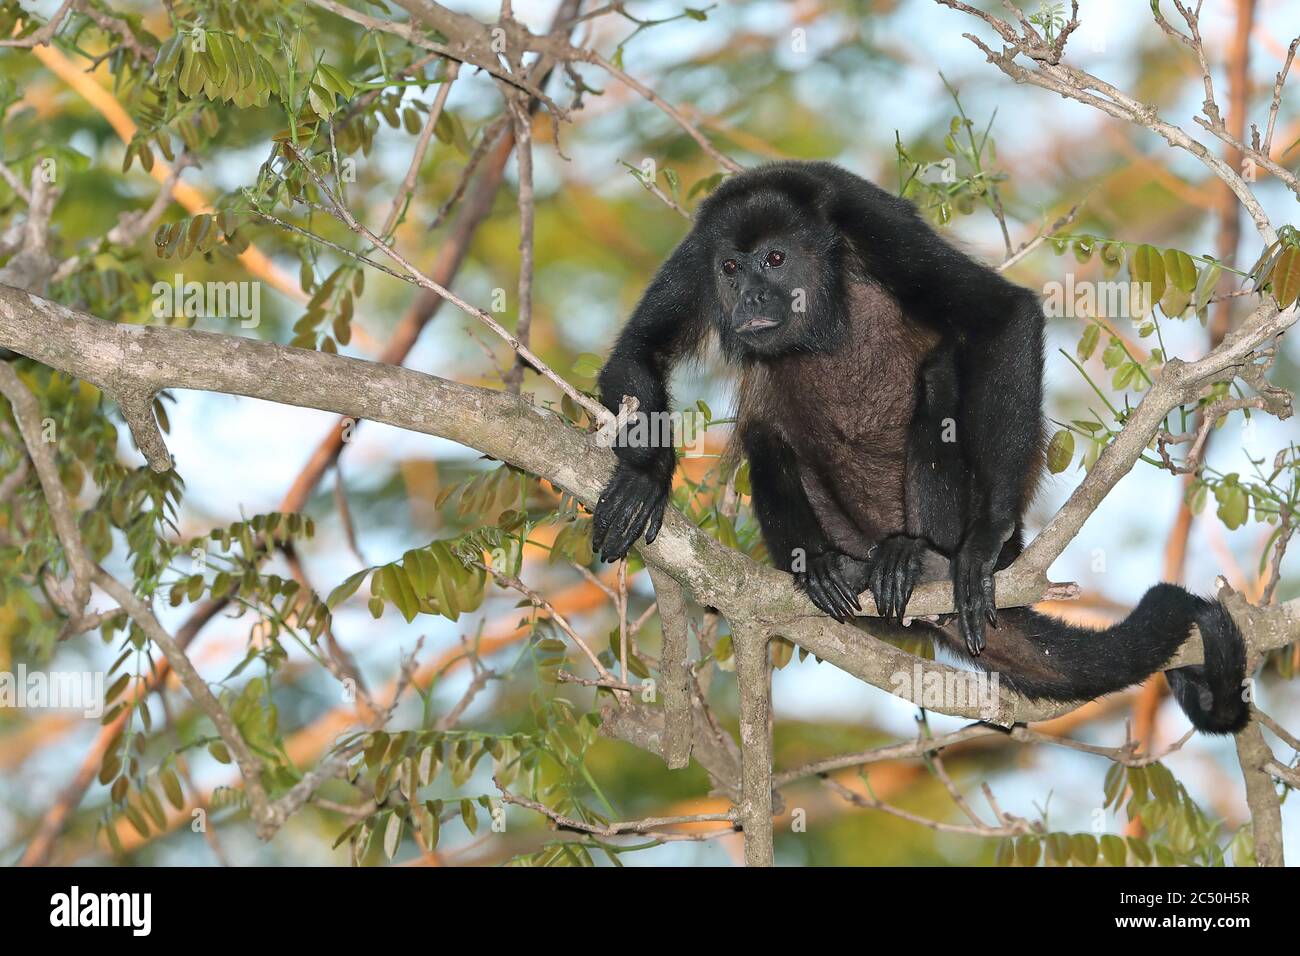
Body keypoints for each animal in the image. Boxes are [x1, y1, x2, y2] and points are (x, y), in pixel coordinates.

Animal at [595, 162, 1253, 733]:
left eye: (774, 259)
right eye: (731, 267)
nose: (749, 297)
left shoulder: (872, 223)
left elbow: (1003, 314)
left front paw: (984, 541)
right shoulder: (697, 252)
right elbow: (641, 348)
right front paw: (645, 477)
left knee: (940, 375)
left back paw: (920, 555)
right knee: (765, 430)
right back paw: (825, 566)